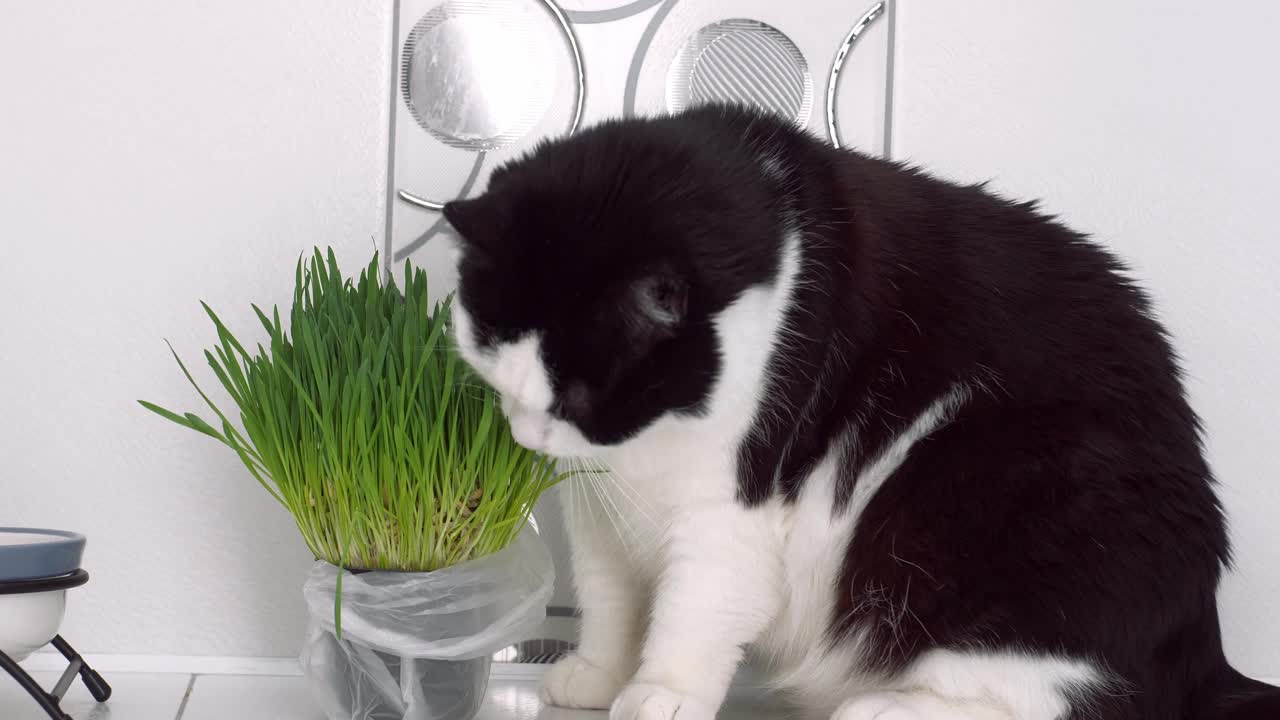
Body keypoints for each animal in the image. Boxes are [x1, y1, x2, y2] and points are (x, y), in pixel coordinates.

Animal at [442, 105, 1280, 717]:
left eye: (581, 397)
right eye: (494, 371)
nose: (528, 435)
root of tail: (1203, 650)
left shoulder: (732, 511)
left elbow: (693, 607)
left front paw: (662, 693)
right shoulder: (600, 506)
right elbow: (611, 597)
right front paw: (597, 674)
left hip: (1017, 485)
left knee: (1064, 699)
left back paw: (884, 707)